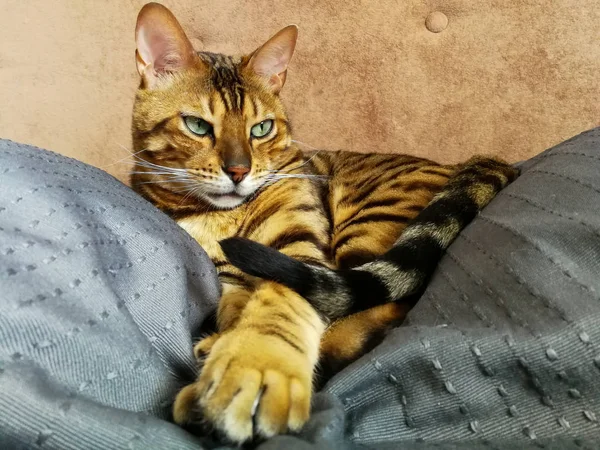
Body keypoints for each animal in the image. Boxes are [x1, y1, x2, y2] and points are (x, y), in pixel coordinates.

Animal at [131, 3, 520, 444]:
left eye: (261, 128)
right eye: (197, 125)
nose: (239, 171)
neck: (218, 217)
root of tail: (476, 163)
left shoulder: (298, 245)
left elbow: (278, 307)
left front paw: (253, 366)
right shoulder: (228, 277)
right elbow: (233, 305)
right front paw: (225, 336)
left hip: (367, 222)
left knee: (388, 301)